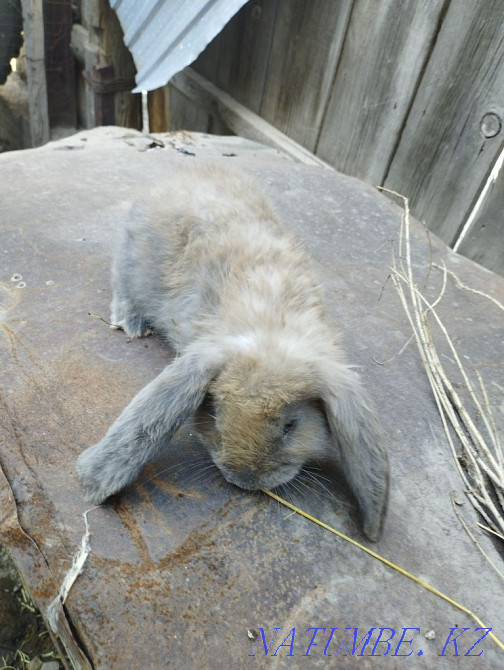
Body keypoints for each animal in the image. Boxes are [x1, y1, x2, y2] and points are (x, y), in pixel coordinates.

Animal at [76, 162, 389, 541]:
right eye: (215, 413)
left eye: (291, 426)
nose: (246, 480)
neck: (271, 326)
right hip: (131, 257)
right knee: (121, 281)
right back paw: (132, 322)